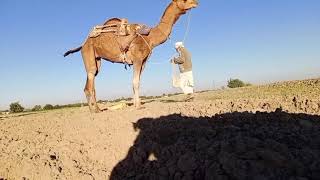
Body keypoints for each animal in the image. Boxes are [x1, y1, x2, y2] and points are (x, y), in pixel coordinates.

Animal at [63, 0, 199, 112]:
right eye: (184, 0)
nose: (196, 2)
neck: (150, 38)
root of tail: (83, 44)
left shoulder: (143, 62)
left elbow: (137, 81)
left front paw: (135, 104)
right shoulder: (137, 59)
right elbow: (135, 82)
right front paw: (138, 106)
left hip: (96, 59)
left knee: (91, 80)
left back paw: (95, 109)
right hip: (88, 53)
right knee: (91, 78)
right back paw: (95, 110)